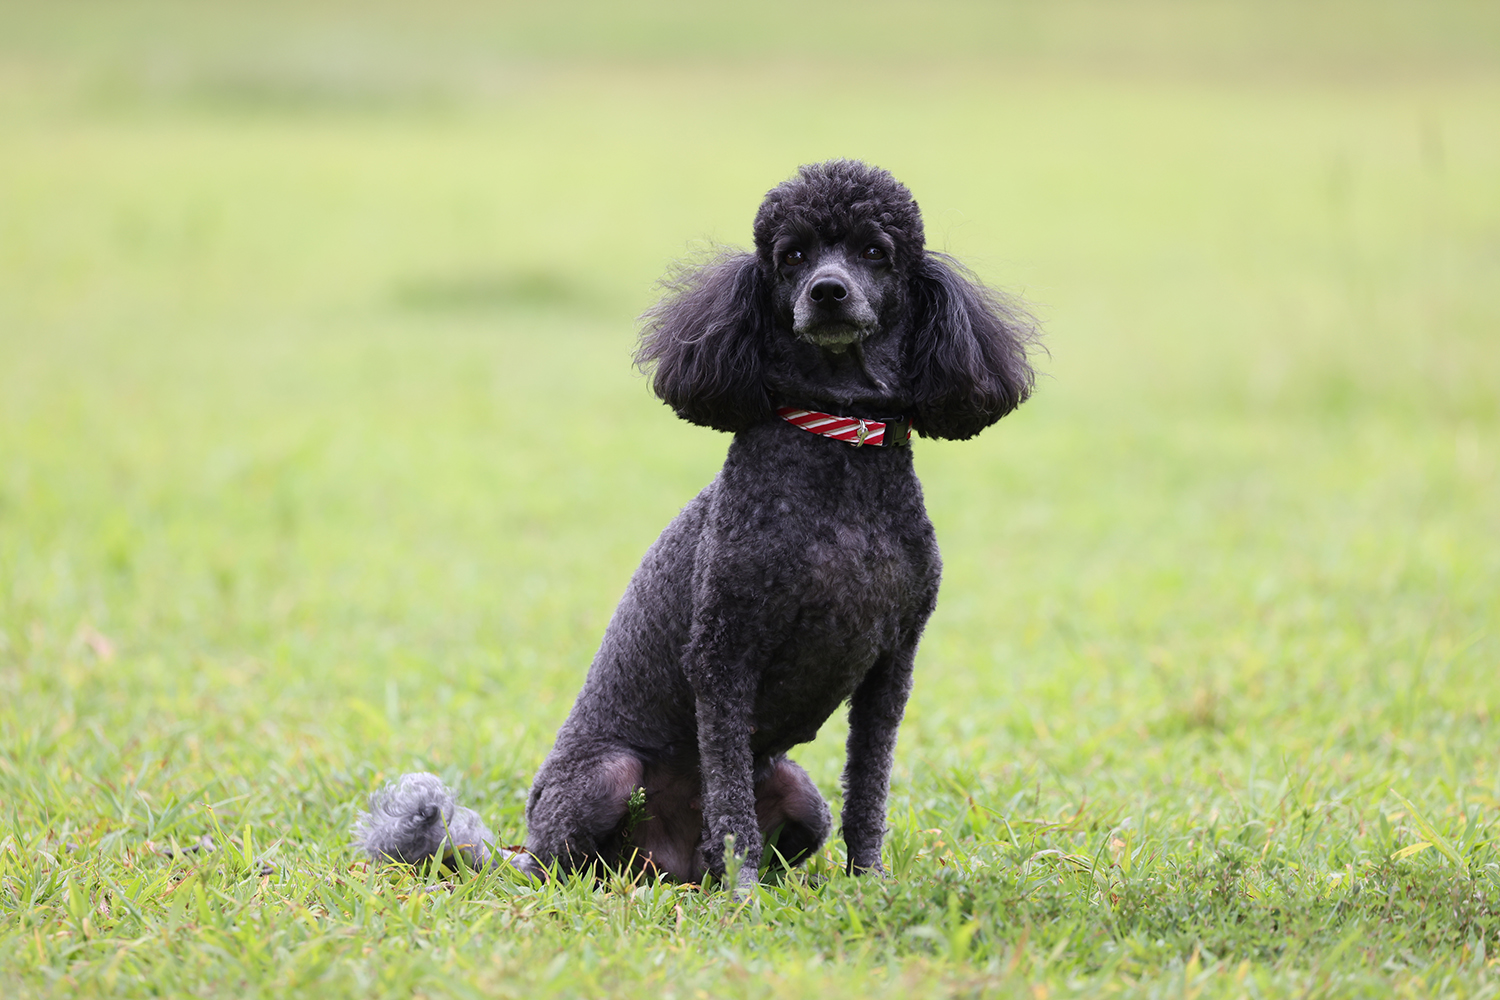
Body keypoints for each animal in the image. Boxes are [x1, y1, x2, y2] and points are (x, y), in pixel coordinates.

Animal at [357, 160, 1038, 890]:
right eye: (791, 256)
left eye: (875, 252)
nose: (828, 291)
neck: (836, 441)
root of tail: (668, 863)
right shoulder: (723, 654)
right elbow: (732, 797)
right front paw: (743, 893)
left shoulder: (892, 665)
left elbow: (869, 785)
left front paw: (869, 881)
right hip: (603, 779)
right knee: (566, 863)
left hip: (801, 793)